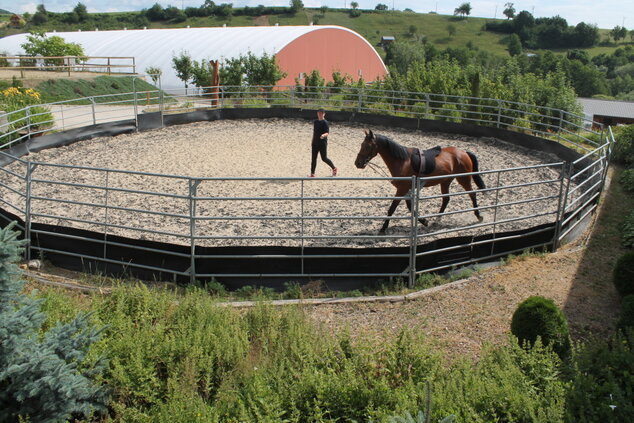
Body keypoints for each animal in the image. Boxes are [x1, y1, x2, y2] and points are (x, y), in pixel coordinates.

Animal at [350, 130, 484, 235]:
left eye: (368, 146)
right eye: (362, 144)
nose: (358, 163)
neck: (402, 161)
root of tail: (464, 152)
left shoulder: (402, 189)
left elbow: (392, 208)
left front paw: (383, 228)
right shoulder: (406, 190)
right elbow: (410, 208)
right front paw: (424, 221)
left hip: (464, 179)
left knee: (472, 194)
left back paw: (479, 216)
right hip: (445, 181)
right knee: (446, 199)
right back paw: (437, 220)